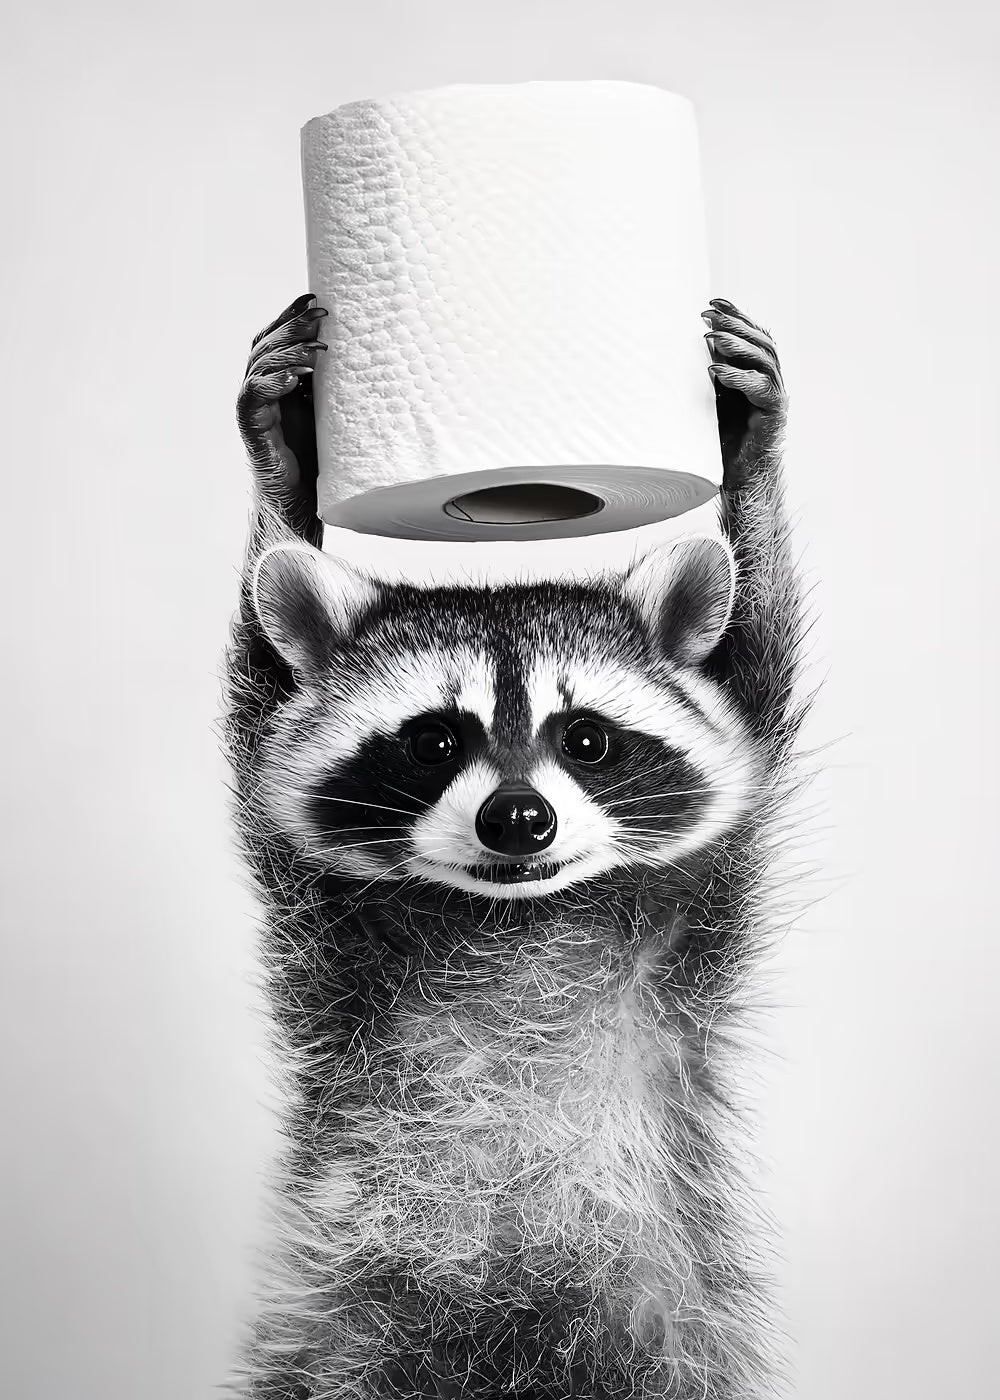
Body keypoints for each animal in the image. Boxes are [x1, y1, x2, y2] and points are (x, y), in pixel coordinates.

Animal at [223, 294, 809, 1400]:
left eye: (585, 740)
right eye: (432, 741)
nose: (518, 819)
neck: (515, 913)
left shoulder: (703, 881)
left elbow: (751, 660)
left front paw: (751, 460)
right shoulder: (313, 897)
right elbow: (263, 683)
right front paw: (282, 463)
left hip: (666, 1338)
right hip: (343, 1342)